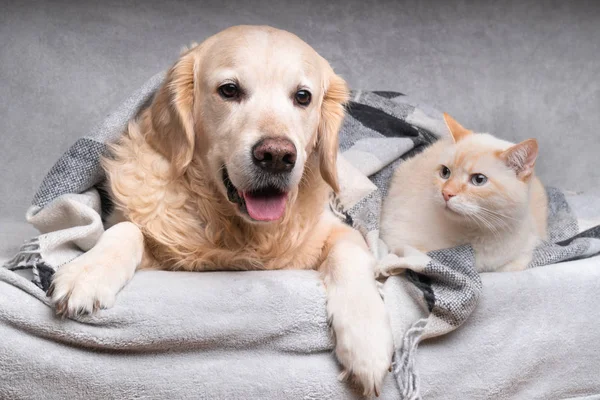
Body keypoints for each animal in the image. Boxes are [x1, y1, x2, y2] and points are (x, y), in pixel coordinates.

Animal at [47, 25, 394, 396]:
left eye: (303, 97)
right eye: (229, 90)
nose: (277, 156)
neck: (231, 227)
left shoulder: (331, 230)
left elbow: (351, 253)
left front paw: (367, 340)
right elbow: (126, 229)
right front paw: (88, 272)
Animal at [380, 114, 548, 274]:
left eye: (478, 180)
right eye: (445, 172)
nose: (446, 193)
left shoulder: (524, 250)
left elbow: (509, 266)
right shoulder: (397, 237)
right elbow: (408, 257)